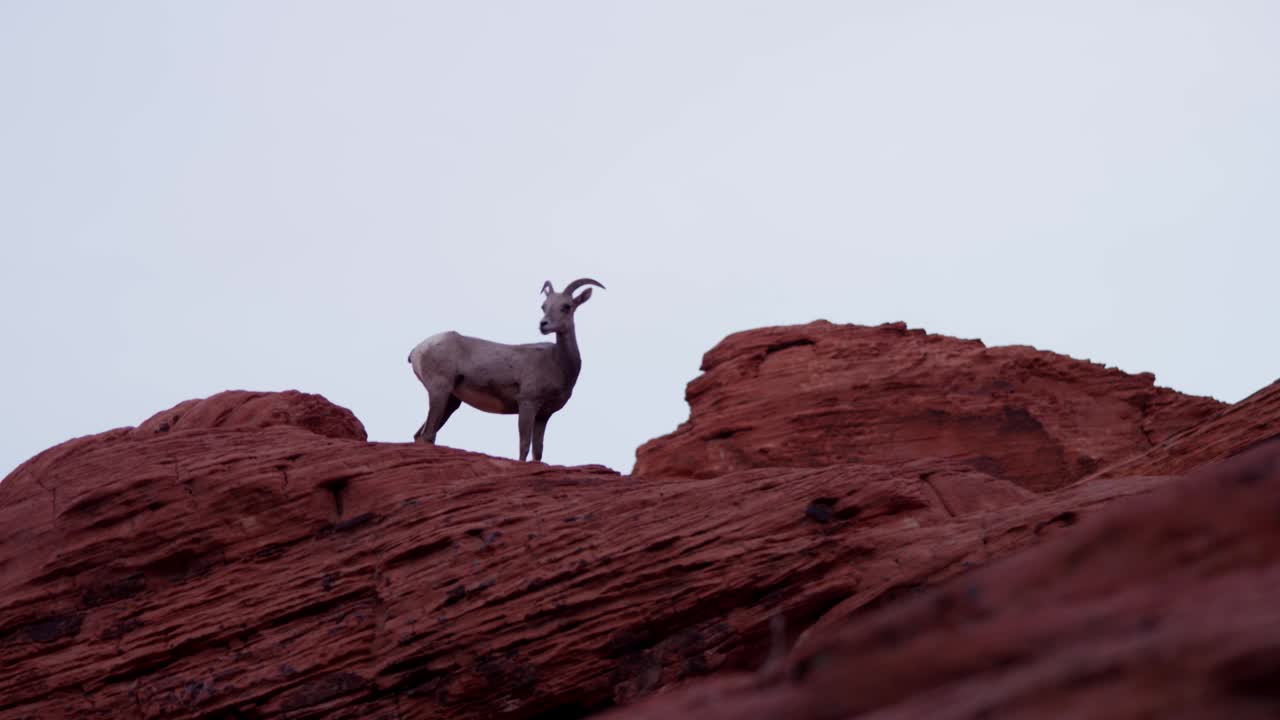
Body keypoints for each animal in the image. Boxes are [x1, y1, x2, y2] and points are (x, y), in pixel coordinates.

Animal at [409, 274, 609, 458]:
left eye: (567, 306)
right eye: (544, 306)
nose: (543, 325)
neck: (559, 362)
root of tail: (417, 350)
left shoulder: (544, 415)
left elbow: (538, 451)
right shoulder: (527, 404)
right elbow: (524, 446)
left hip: (451, 401)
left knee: (420, 435)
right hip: (439, 393)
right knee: (427, 435)